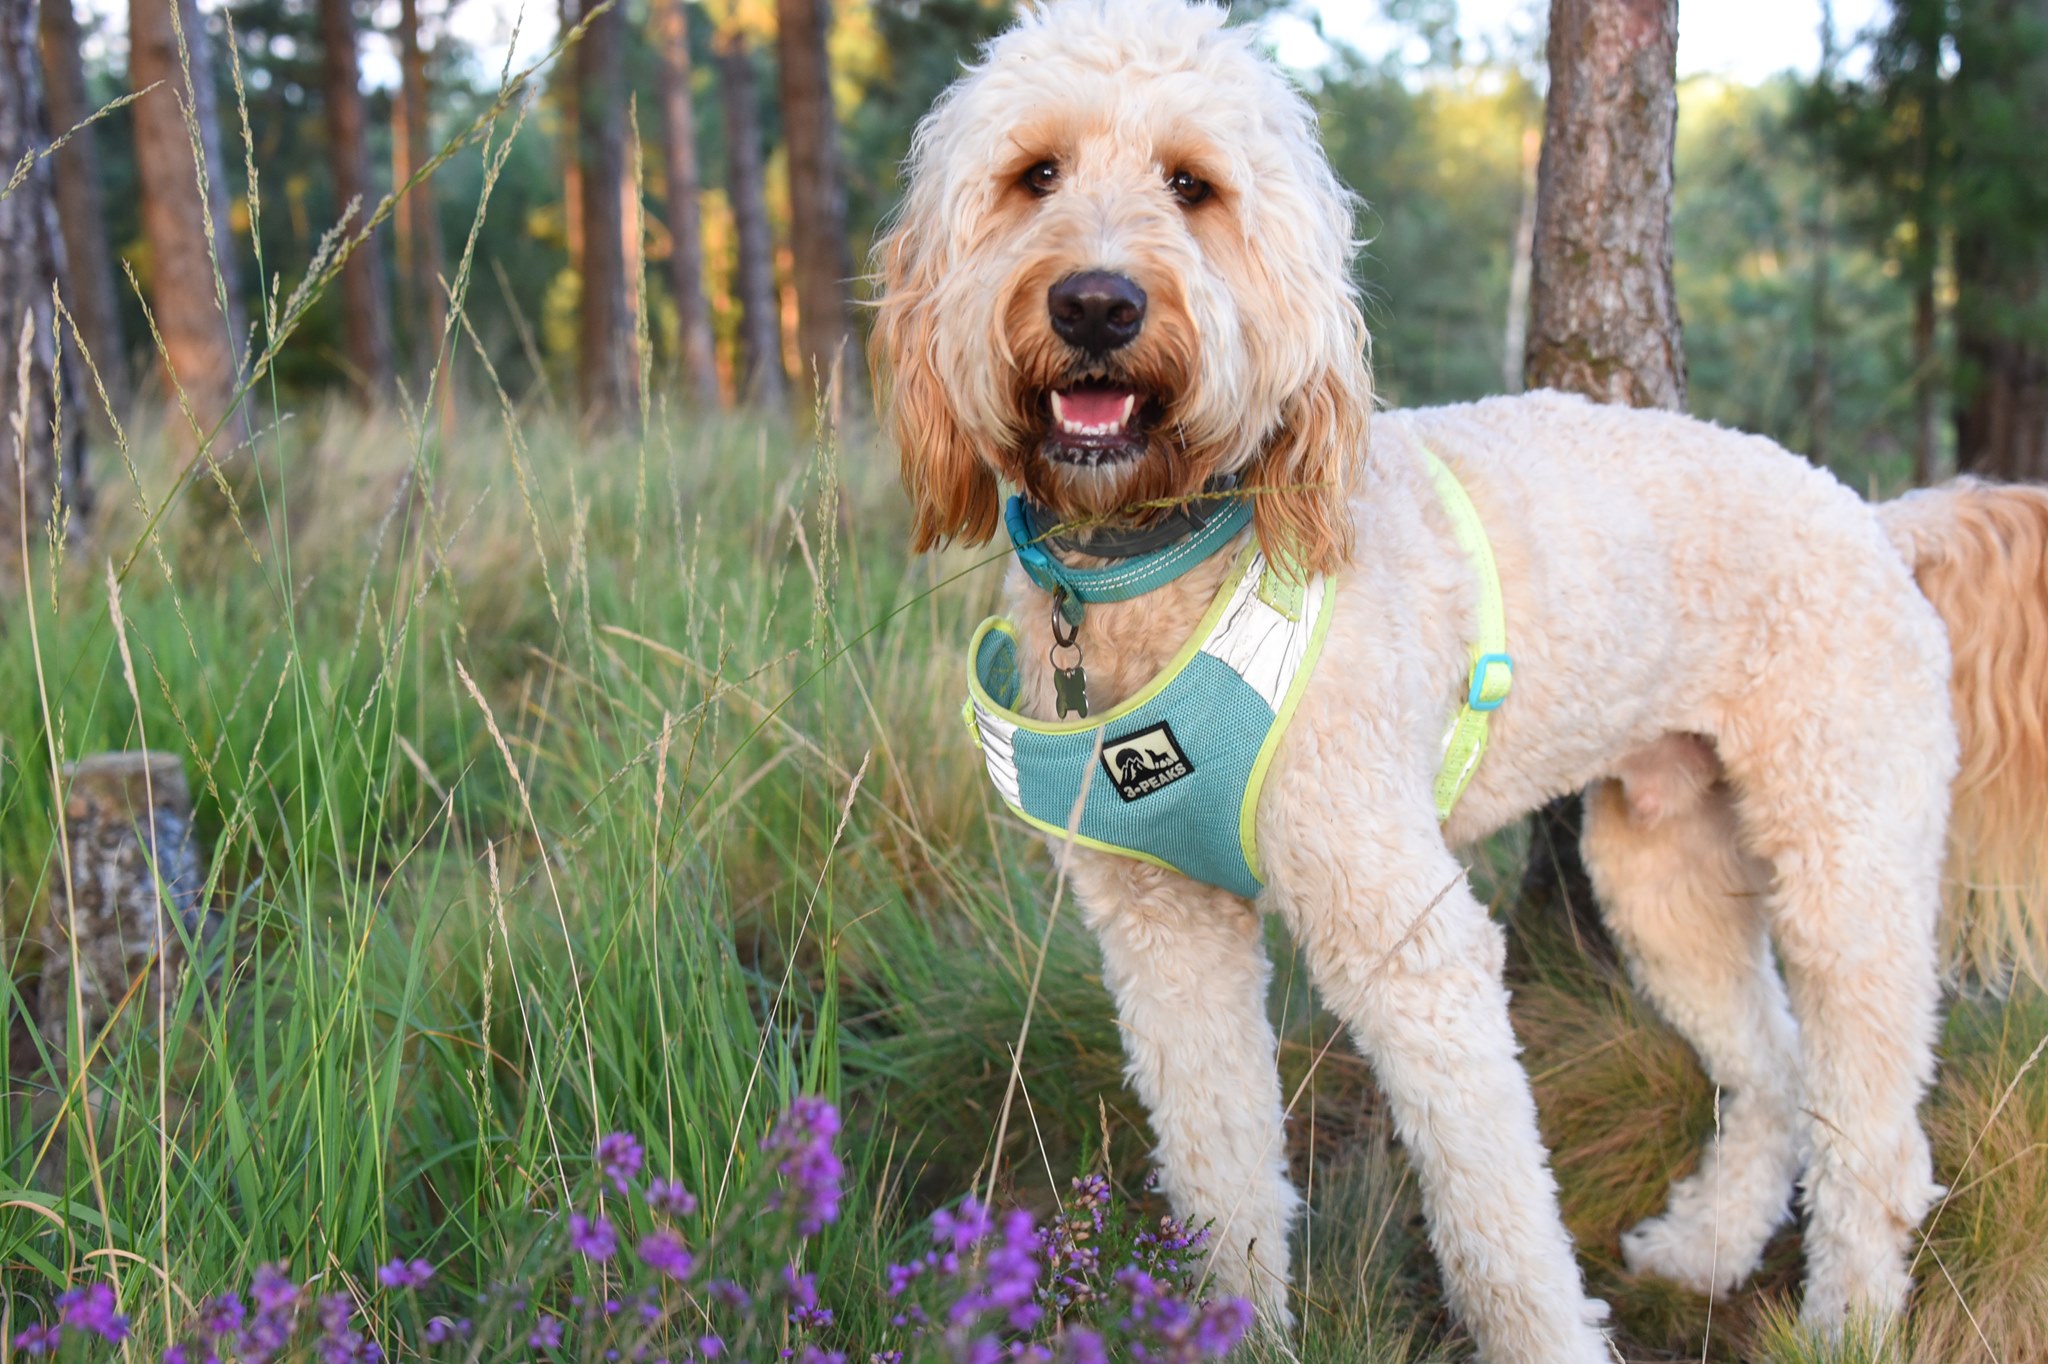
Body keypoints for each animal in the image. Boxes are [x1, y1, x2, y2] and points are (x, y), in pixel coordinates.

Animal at [868, 5, 2048, 1351]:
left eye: (1191, 184)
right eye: (1035, 175)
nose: (1096, 303)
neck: (1165, 552)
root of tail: (1876, 516)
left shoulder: (1406, 937)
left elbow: (1496, 1227)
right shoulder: (1164, 934)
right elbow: (1220, 1173)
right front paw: (1234, 1327)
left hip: (1845, 862)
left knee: (1873, 1133)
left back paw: (1844, 1318)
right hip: (1663, 874)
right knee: (1774, 1071)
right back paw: (1701, 1246)